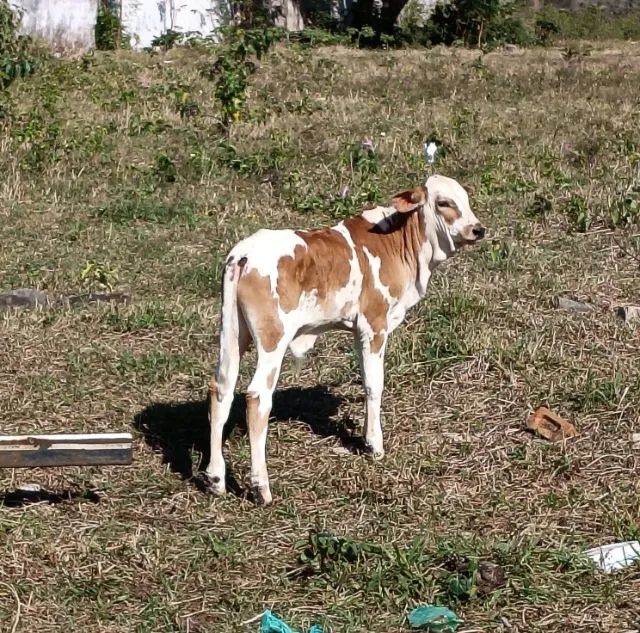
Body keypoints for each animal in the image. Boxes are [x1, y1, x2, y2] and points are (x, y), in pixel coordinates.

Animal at [205, 174, 485, 505]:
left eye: (466, 199)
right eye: (444, 203)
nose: (478, 229)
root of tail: (244, 253)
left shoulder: (358, 330)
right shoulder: (374, 325)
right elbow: (374, 384)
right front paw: (374, 444)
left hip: (233, 333)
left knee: (221, 389)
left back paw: (215, 478)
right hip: (273, 339)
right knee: (258, 397)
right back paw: (261, 487)